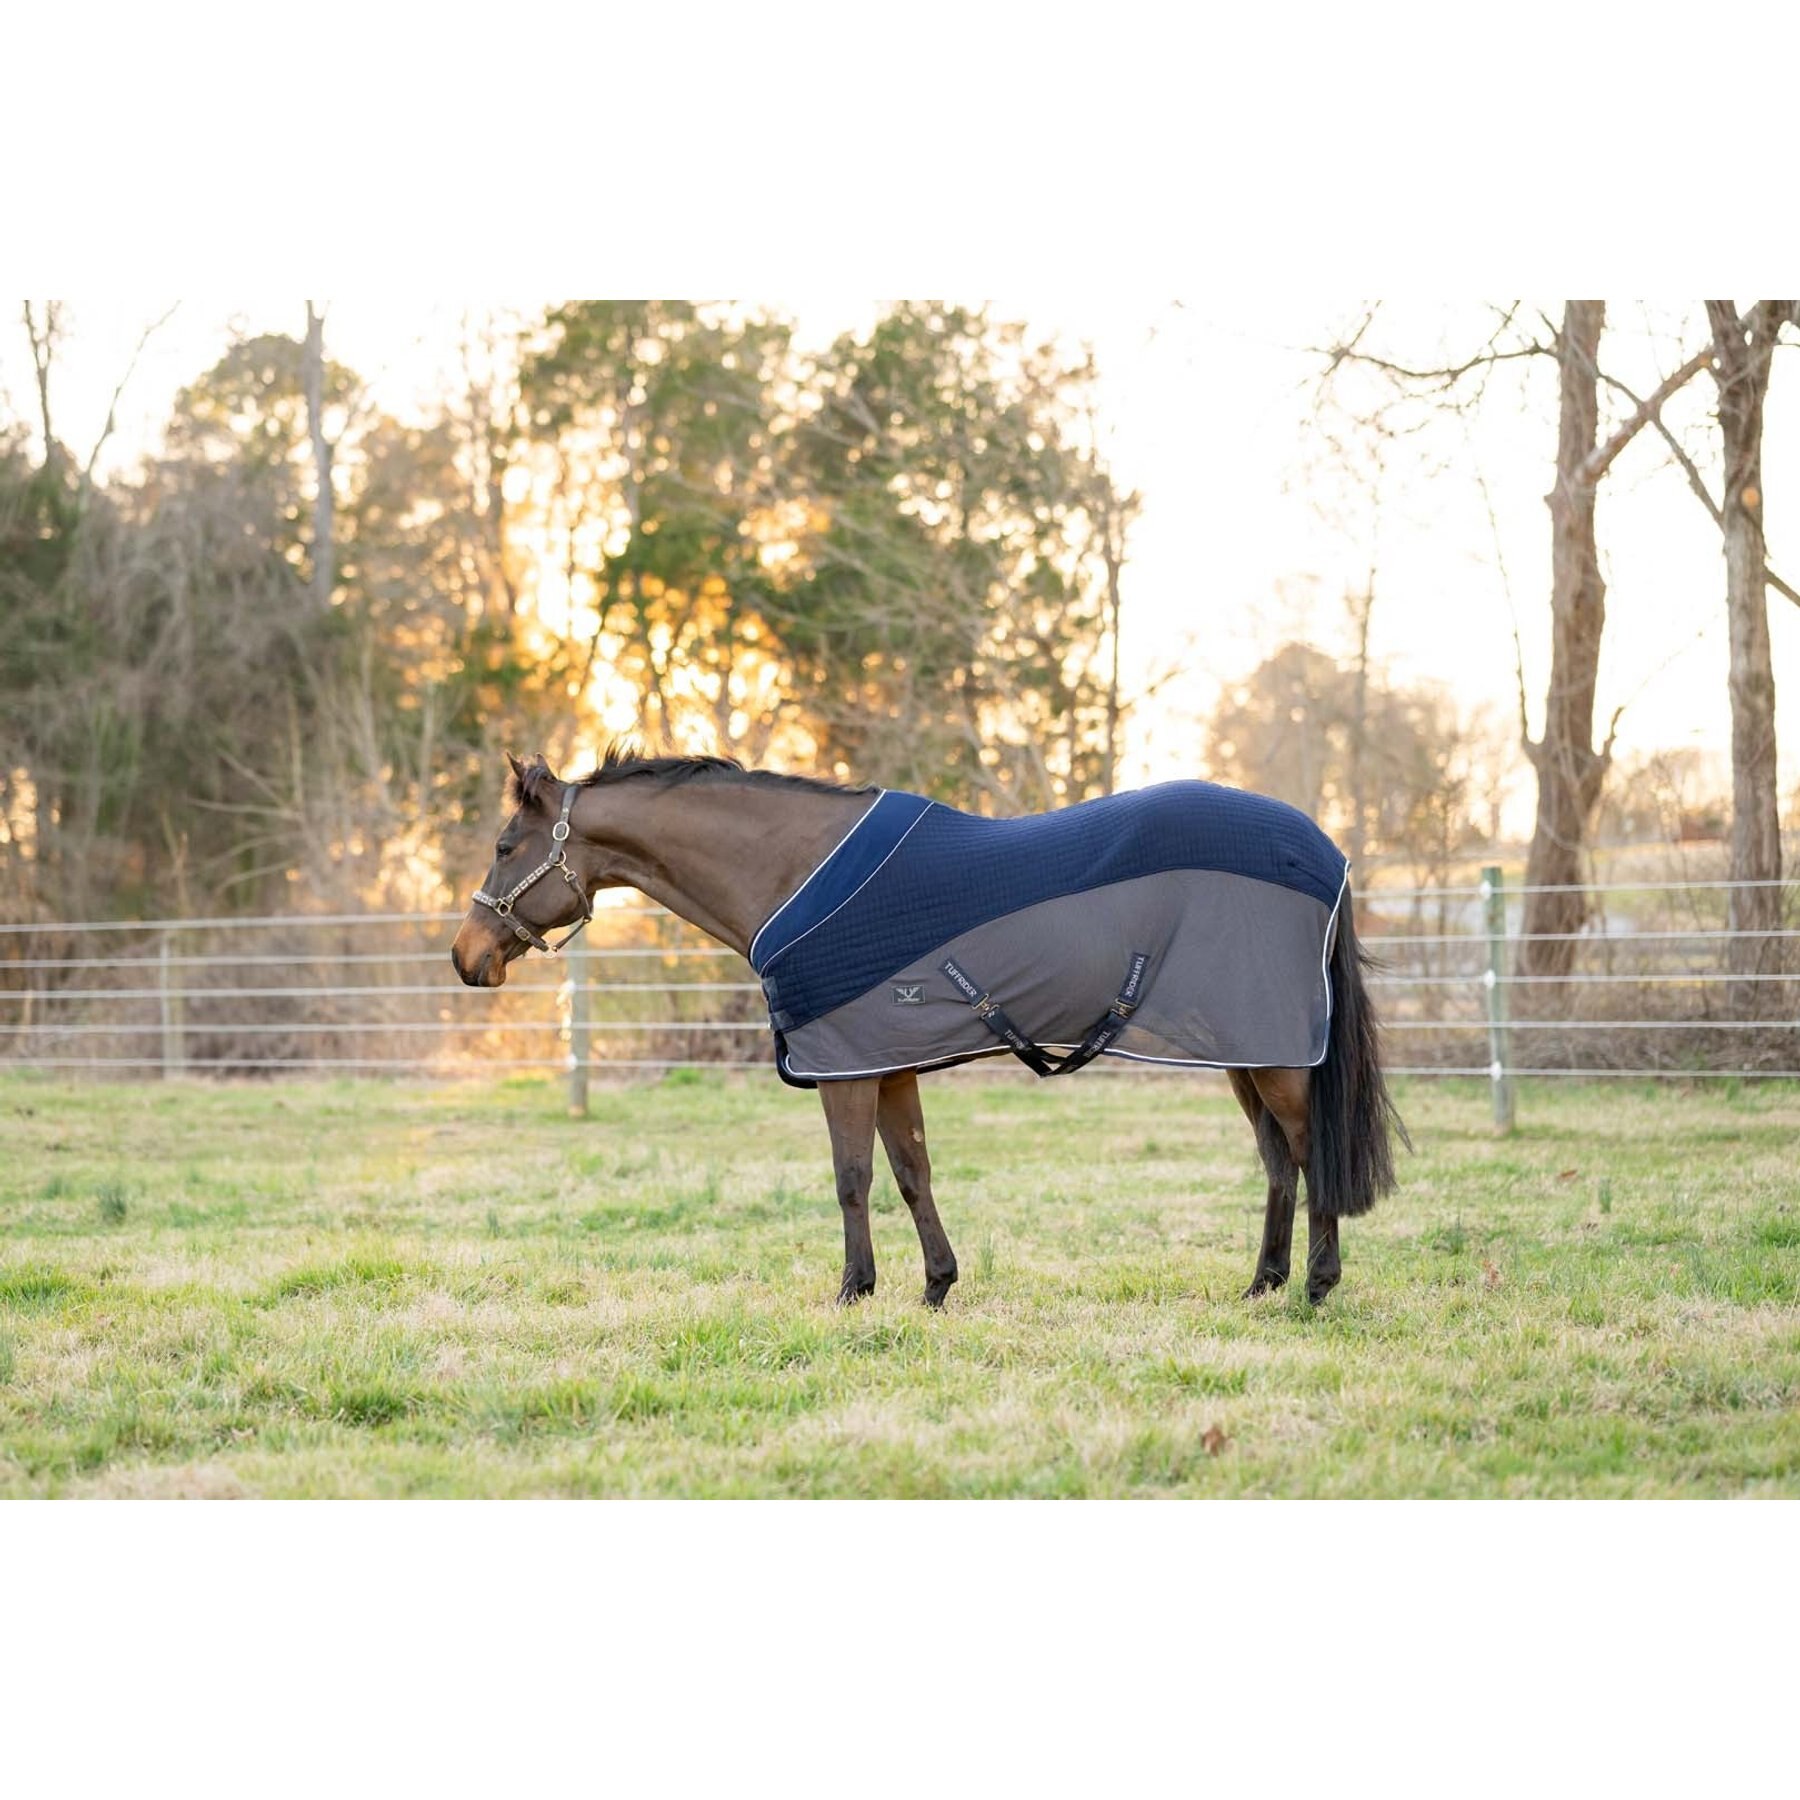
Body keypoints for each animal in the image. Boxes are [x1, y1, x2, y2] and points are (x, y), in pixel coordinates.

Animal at [450, 747, 1407, 1308]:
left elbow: (851, 1180)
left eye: (503, 847)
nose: (467, 957)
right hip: (1247, 1048)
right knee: (1278, 1162)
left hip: (1278, 1057)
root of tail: (1325, 850)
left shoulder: (843, 1069)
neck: (795, 871)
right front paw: (936, 1287)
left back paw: (1316, 1287)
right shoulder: (889, 1062)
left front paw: (854, 1292)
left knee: (1307, 1151)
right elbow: (912, 1175)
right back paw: (1261, 1283)